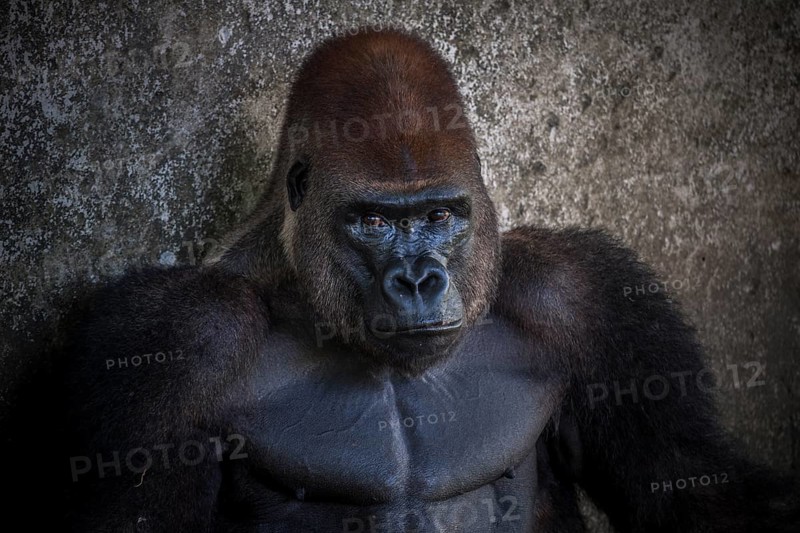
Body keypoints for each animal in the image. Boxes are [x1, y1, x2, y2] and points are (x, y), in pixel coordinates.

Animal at [65, 28, 798, 532]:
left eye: (439, 215)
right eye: (373, 222)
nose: (417, 280)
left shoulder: (579, 294)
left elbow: (685, 483)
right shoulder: (178, 335)